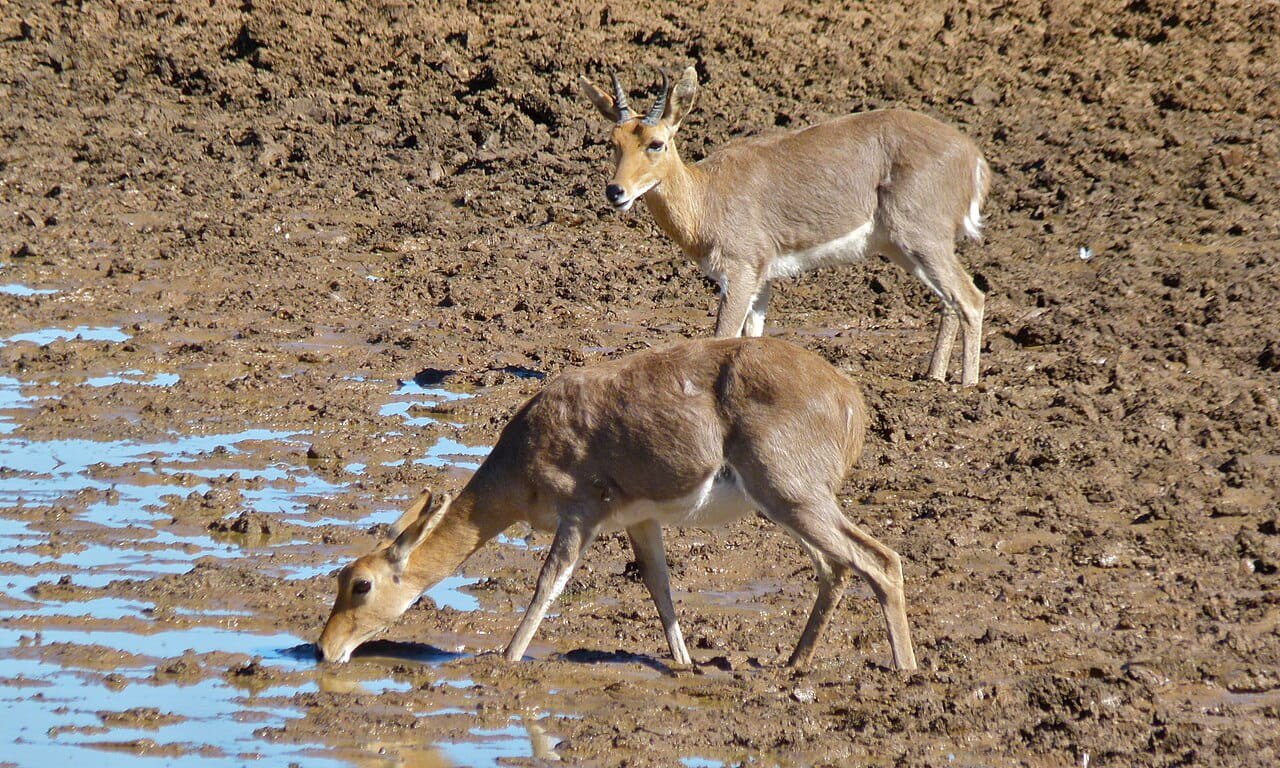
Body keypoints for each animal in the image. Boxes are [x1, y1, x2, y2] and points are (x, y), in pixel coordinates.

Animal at [317, 337, 917, 670]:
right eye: (340, 576)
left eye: (361, 584)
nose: (324, 649)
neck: (524, 451)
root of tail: (850, 400)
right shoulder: (641, 519)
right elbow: (659, 586)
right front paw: (685, 664)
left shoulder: (581, 512)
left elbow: (549, 582)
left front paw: (507, 658)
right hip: (789, 504)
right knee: (838, 567)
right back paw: (792, 665)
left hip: (791, 496)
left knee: (880, 560)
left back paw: (904, 672)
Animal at [580, 67, 991, 386]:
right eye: (614, 141)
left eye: (656, 143)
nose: (615, 191)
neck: (707, 195)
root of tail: (972, 155)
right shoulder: (763, 279)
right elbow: (752, 339)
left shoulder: (740, 271)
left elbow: (721, 337)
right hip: (905, 249)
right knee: (949, 302)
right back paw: (934, 378)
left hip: (922, 241)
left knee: (971, 297)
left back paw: (966, 387)